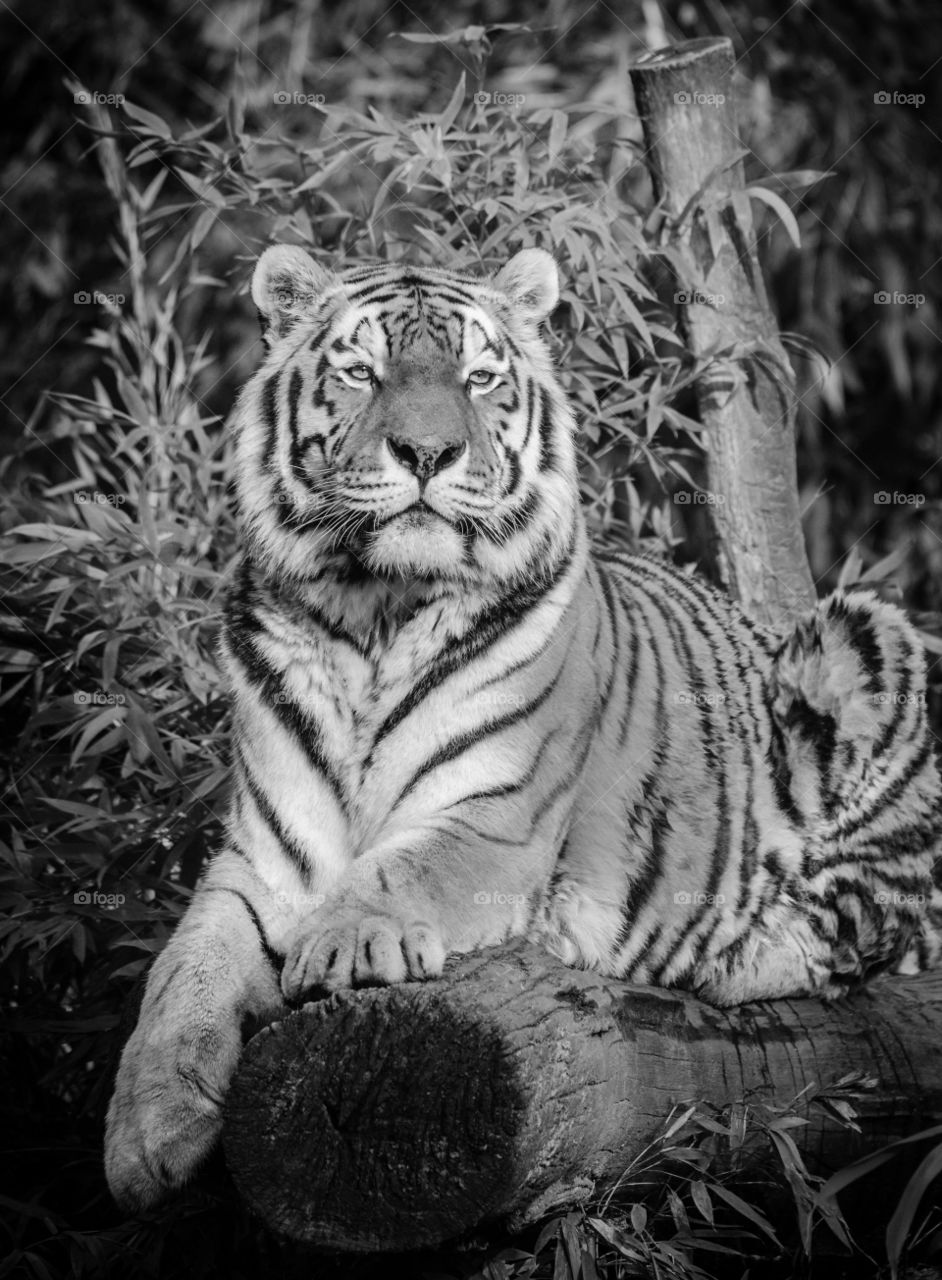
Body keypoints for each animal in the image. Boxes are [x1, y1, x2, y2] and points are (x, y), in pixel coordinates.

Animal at [104, 244, 942, 1211]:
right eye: (362, 373)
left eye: (479, 378)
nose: (427, 452)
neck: (372, 612)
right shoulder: (262, 861)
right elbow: (179, 974)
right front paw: (146, 1133)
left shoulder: (494, 822)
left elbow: (399, 870)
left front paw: (343, 943)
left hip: (866, 637)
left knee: (871, 932)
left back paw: (741, 955)